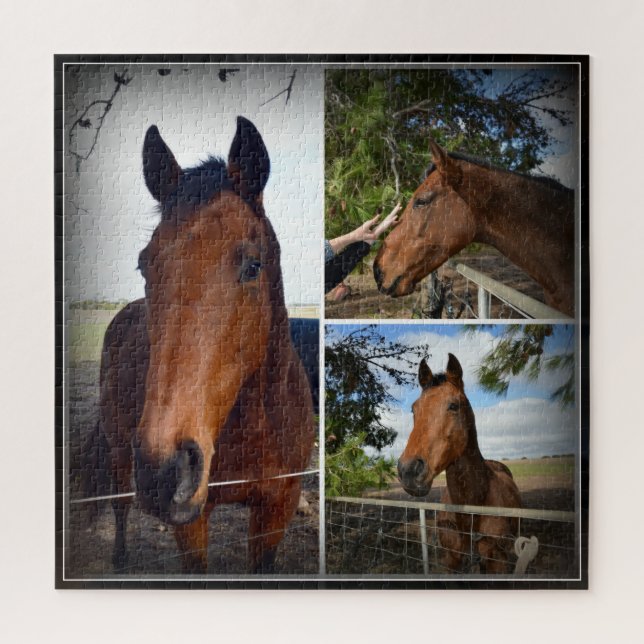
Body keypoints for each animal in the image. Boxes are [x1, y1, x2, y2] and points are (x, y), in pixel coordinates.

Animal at [87, 117, 315, 574]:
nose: (164, 472)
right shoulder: (191, 524)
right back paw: (119, 559)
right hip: (119, 450)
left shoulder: (277, 508)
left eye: (253, 266)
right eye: (144, 265)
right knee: (120, 504)